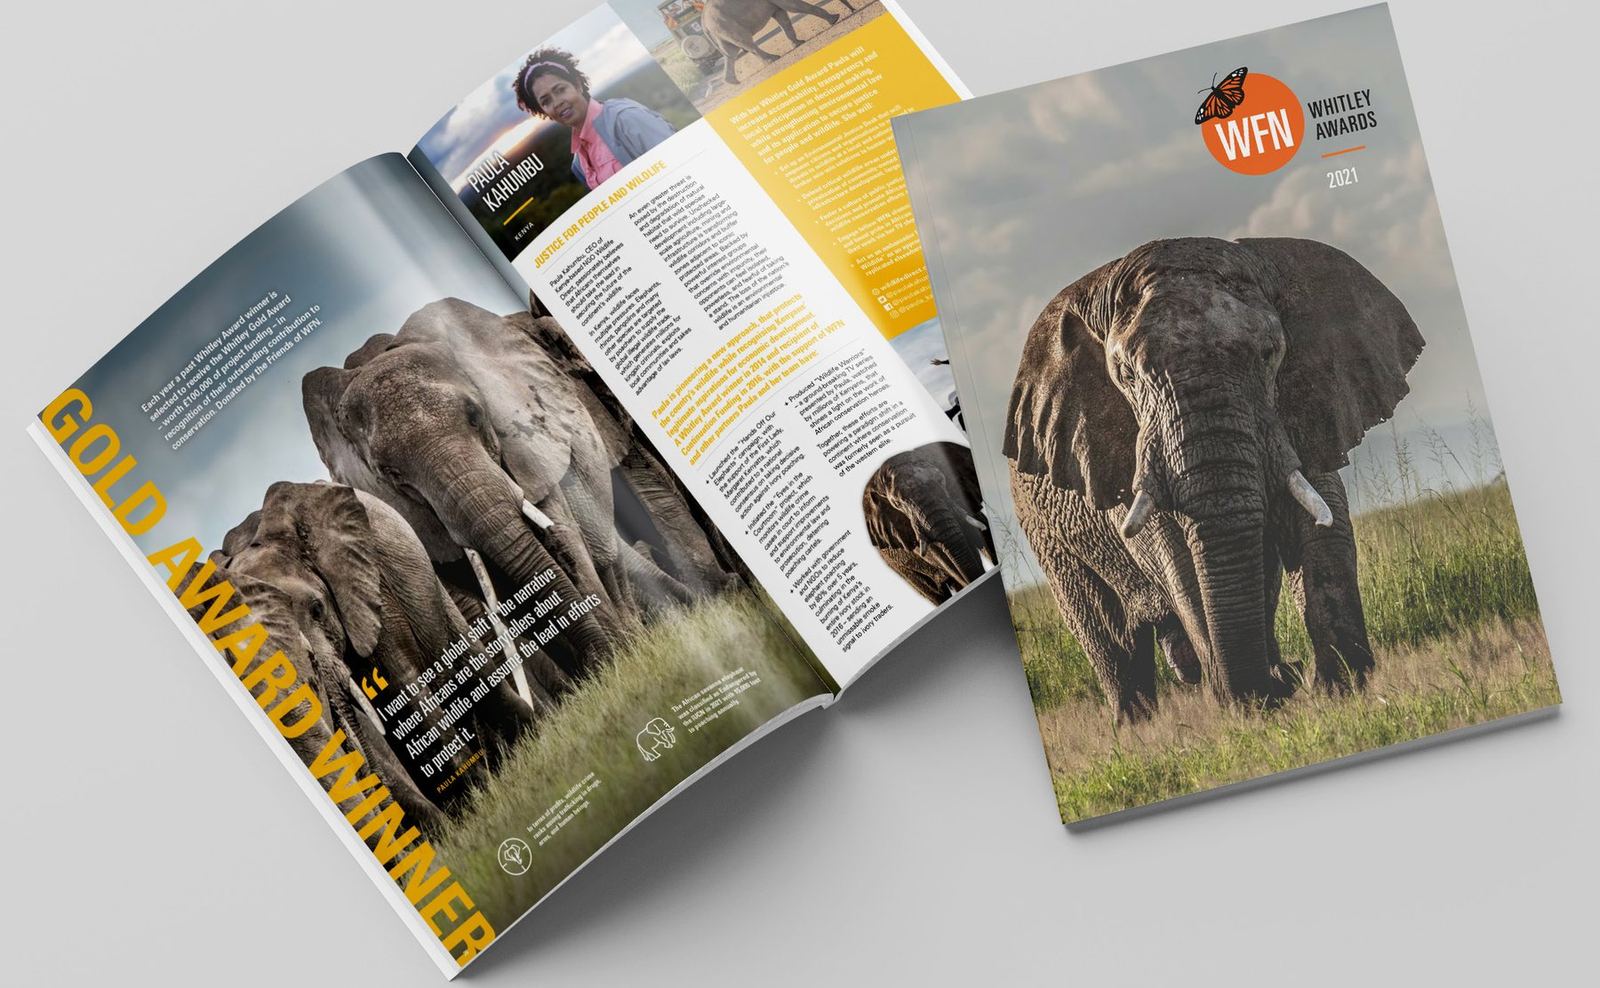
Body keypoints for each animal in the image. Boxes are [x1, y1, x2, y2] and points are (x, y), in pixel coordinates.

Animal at [210, 482, 541, 821]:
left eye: (317, 609)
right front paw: (470, 807)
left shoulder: (369, 585)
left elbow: (399, 687)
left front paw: (478, 799)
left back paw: (533, 735)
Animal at [304, 298, 696, 683]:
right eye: (393, 475)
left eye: (476, 416)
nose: (605, 663)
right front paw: (607, 670)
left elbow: (563, 528)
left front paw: (619, 661)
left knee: (604, 551)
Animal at [701, 0, 846, 84]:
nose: (850, 10)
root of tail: (704, 23)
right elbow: (792, 6)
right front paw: (835, 19)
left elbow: (782, 15)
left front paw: (799, 43)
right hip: (726, 25)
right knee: (746, 43)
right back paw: (774, 58)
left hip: (721, 30)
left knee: (730, 53)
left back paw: (733, 82)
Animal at [863, 441, 994, 604]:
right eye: (898, 504)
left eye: (941, 480)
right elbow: (948, 561)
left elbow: (983, 531)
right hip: (897, 565)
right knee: (935, 593)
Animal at [1005, 237, 1423, 721]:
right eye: (1126, 376)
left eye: (1269, 354)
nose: (1285, 678)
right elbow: (1179, 563)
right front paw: (1244, 705)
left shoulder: (1309, 402)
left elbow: (1322, 522)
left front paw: (1345, 687)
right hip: (1045, 532)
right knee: (1109, 634)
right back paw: (1138, 724)